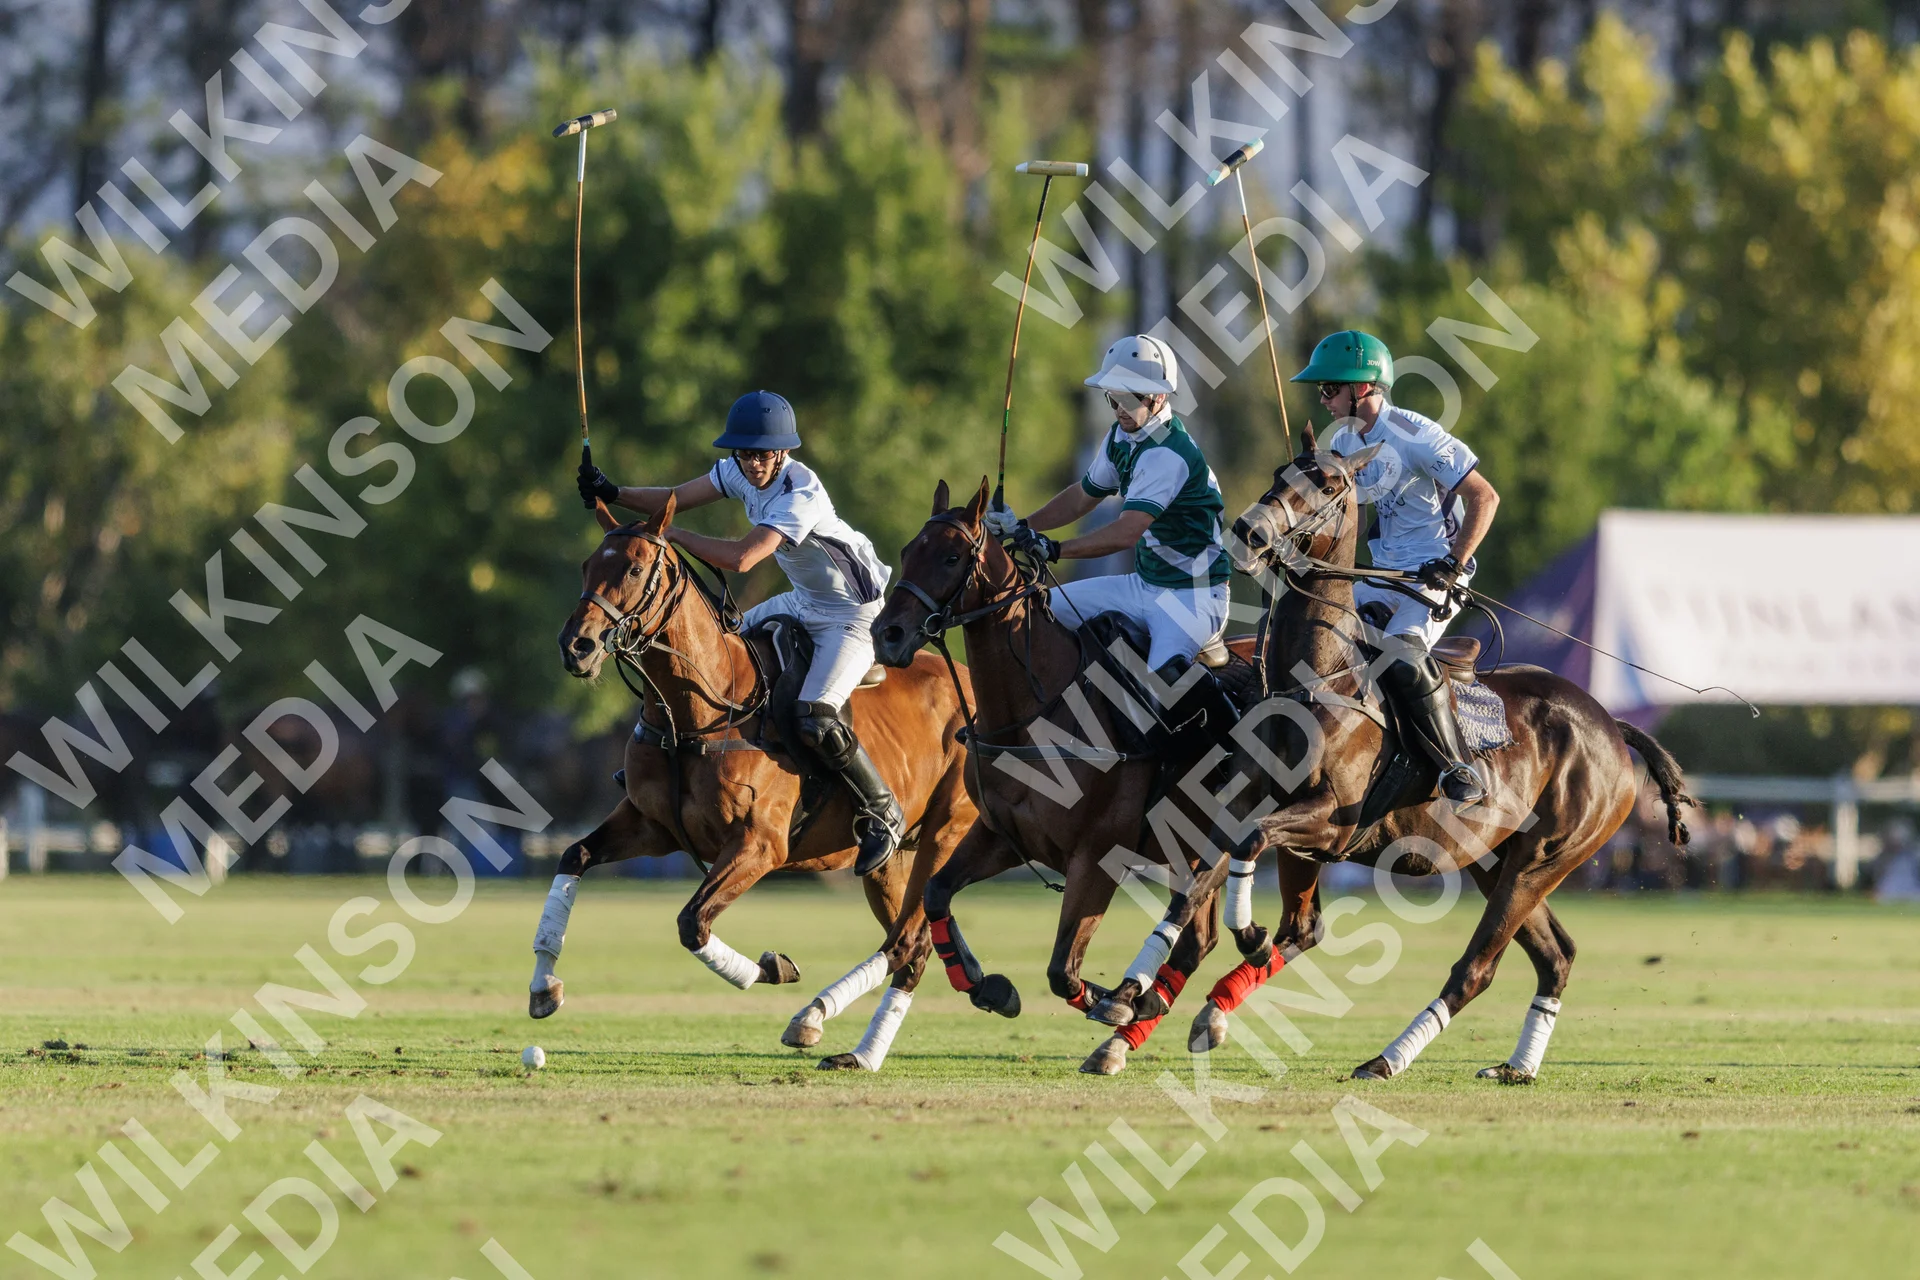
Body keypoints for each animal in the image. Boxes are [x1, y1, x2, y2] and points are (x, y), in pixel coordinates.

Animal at [535, 495, 979, 1070]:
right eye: (588, 565)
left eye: (634, 568)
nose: (577, 646)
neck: (697, 710)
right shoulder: (652, 826)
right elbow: (575, 856)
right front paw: (543, 988)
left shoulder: (760, 845)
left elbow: (693, 922)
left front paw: (773, 967)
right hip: (891, 862)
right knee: (912, 946)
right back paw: (834, 1033)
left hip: (945, 832)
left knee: (906, 941)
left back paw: (830, 1030)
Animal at [870, 478, 1256, 1076]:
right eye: (910, 549)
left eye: (953, 557)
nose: (886, 635)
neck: (1036, 711)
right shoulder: (1001, 835)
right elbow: (935, 893)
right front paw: (988, 986)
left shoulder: (1097, 855)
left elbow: (1062, 969)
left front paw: (1111, 1000)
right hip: (1186, 848)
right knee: (1199, 938)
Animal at [1086, 445, 1693, 1083]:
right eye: (1281, 474)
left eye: (1329, 485)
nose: (1250, 531)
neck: (1318, 676)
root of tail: (1611, 724)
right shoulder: (1247, 802)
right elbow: (1199, 884)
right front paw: (1127, 999)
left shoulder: (1333, 821)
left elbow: (1250, 848)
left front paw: (1244, 937)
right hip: (1494, 858)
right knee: (1556, 956)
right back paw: (1515, 1067)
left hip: (1543, 859)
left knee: (1476, 968)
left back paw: (1387, 1058)